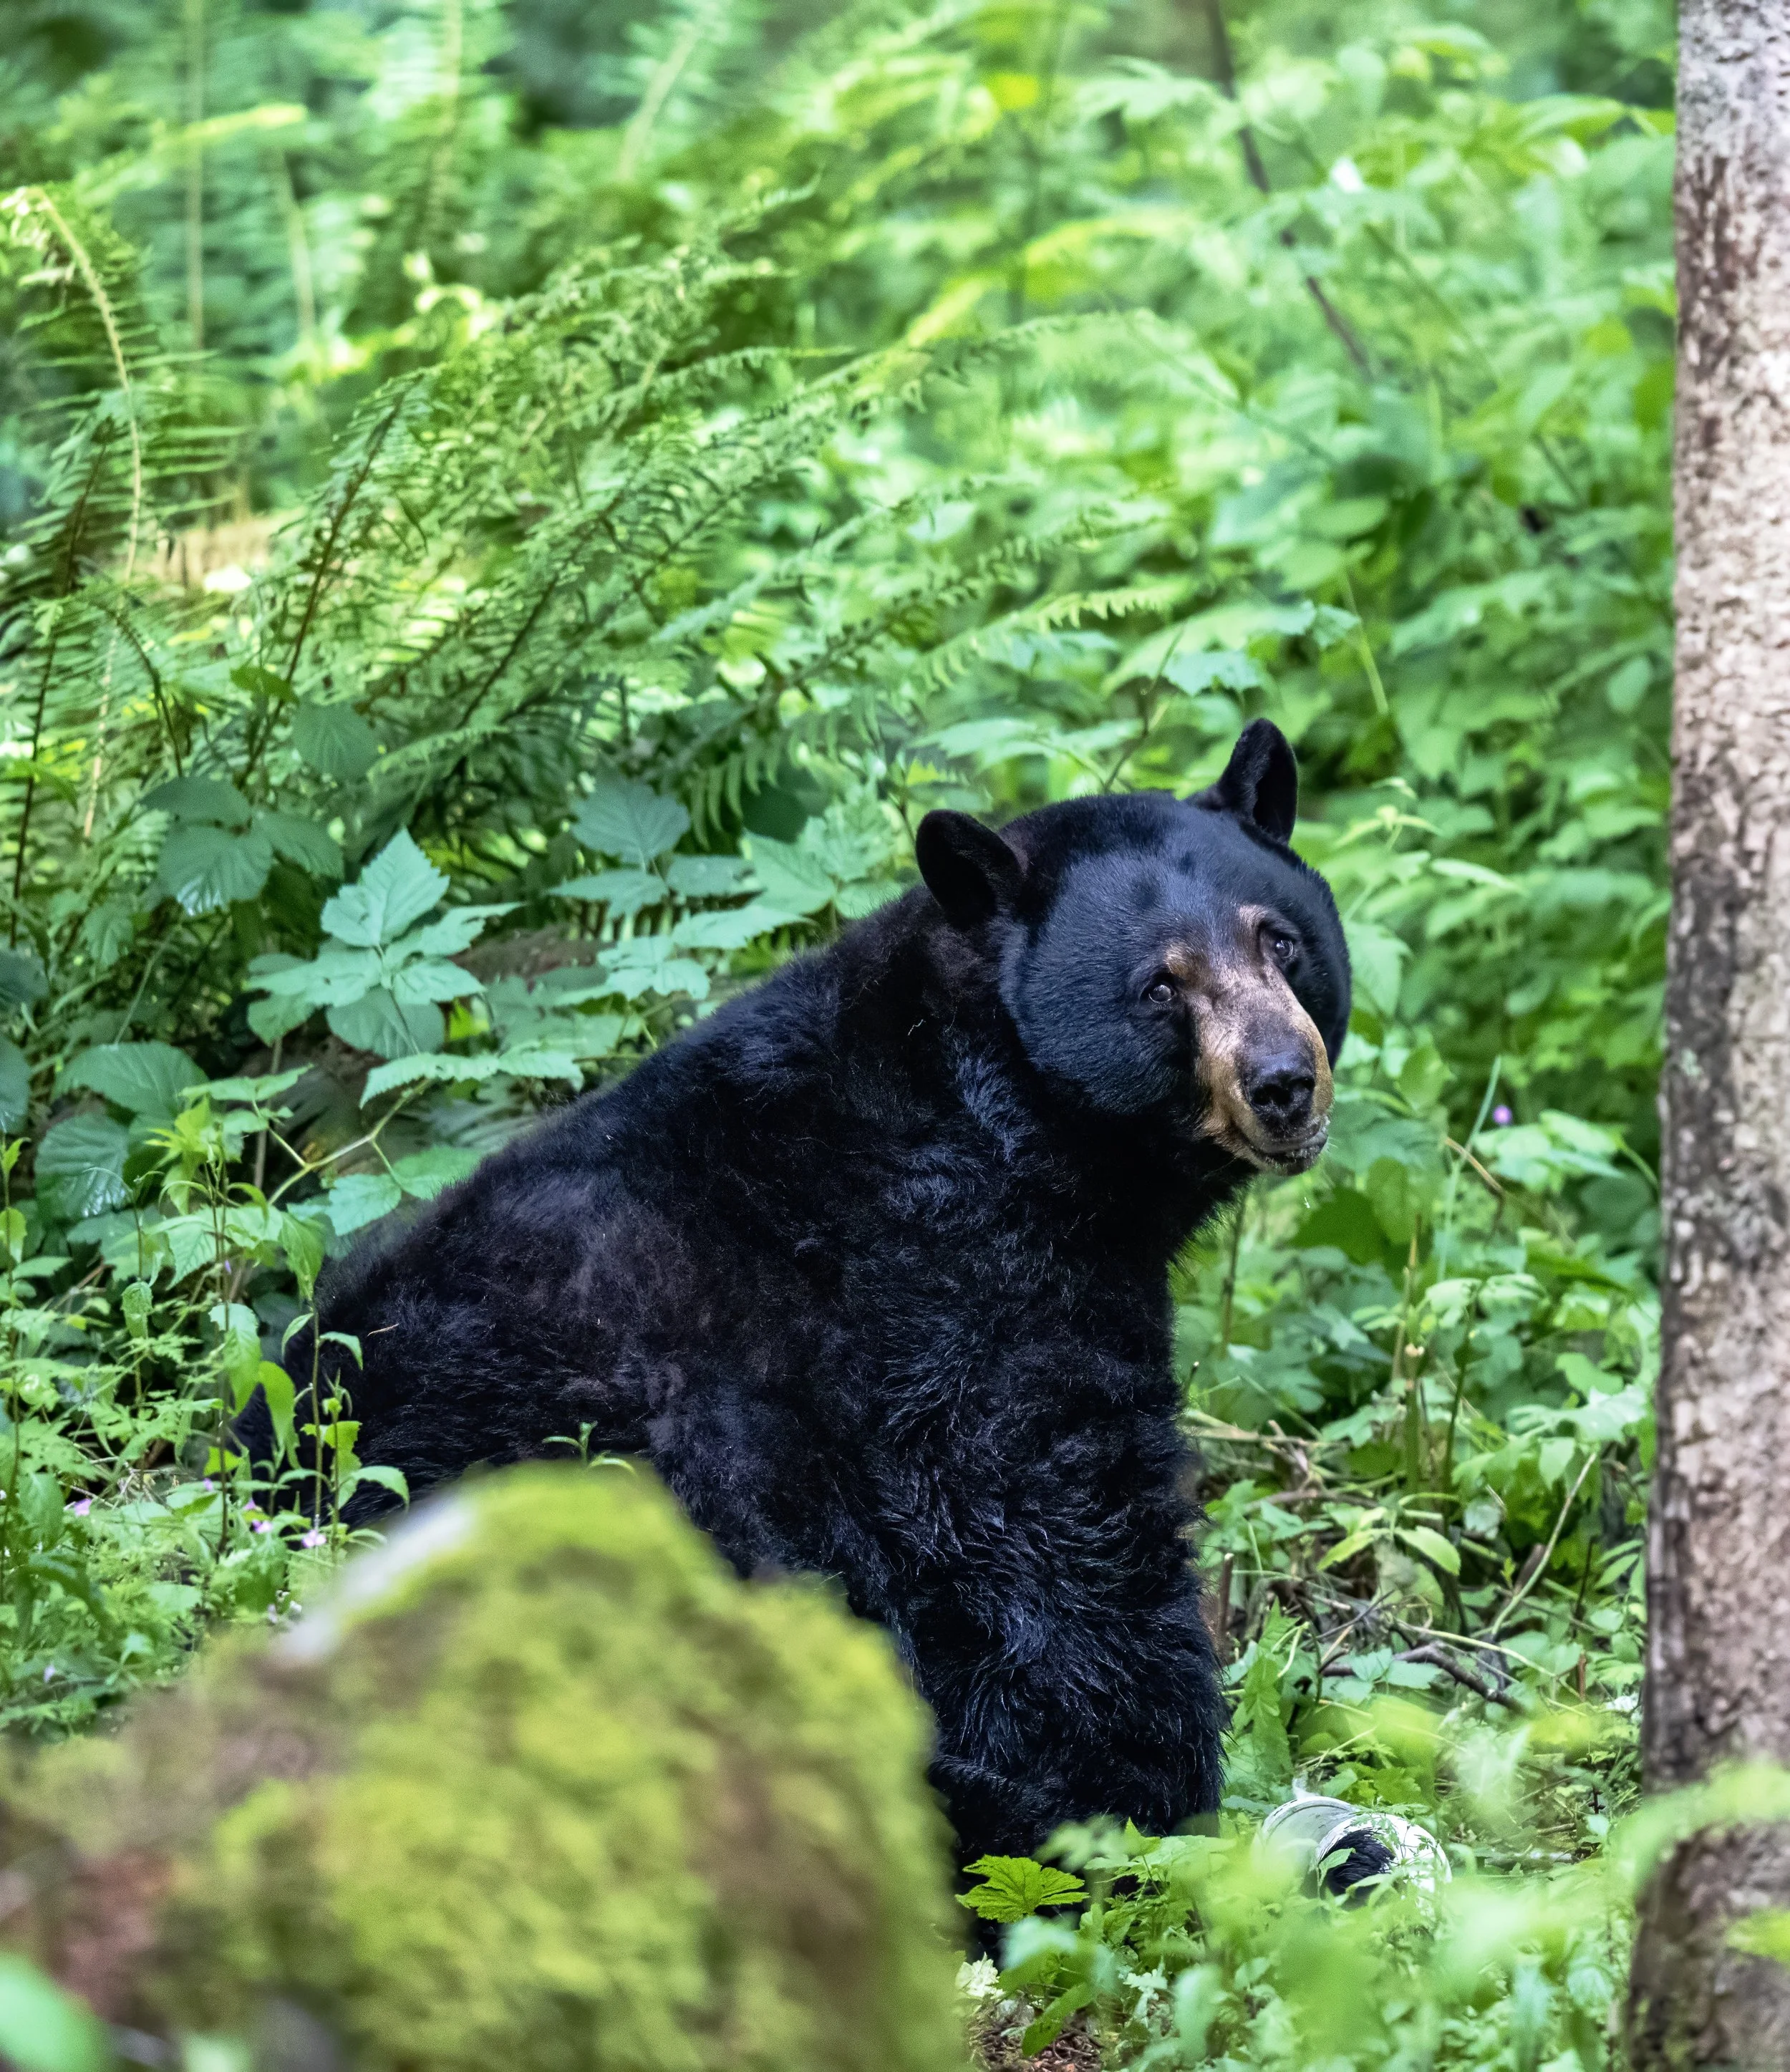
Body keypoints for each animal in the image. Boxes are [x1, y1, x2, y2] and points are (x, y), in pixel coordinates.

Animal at [264, 719, 1352, 1874]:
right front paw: (1147, 1795)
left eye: (1279, 940)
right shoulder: (948, 1285)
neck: (995, 1105)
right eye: (1159, 985)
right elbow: (1045, 1533)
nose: (1283, 1082)